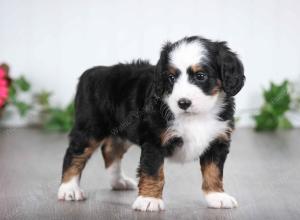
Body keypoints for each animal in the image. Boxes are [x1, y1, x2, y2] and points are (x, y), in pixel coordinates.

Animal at [58, 35, 244, 211]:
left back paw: (118, 181)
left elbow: (214, 171)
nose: (183, 103)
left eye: (201, 76)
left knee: (110, 150)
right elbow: (153, 171)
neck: (195, 116)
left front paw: (217, 196)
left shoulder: (218, 141)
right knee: (74, 154)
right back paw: (69, 189)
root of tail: (93, 71)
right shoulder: (154, 140)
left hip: (123, 130)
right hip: (90, 128)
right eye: (171, 77)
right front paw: (149, 200)